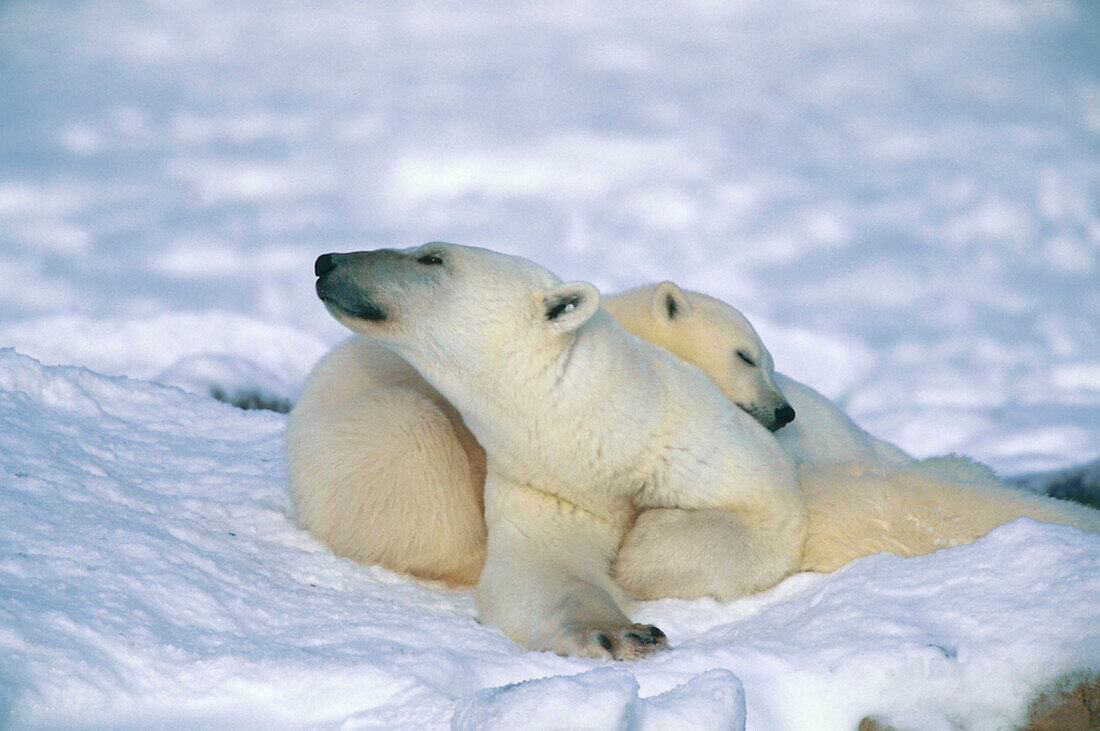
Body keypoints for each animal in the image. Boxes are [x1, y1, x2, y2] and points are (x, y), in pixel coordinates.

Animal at [297, 241, 805, 659]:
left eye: (431, 257)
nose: (326, 261)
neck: (605, 428)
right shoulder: (548, 485)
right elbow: (545, 568)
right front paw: (623, 633)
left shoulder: (695, 438)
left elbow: (764, 516)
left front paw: (635, 554)